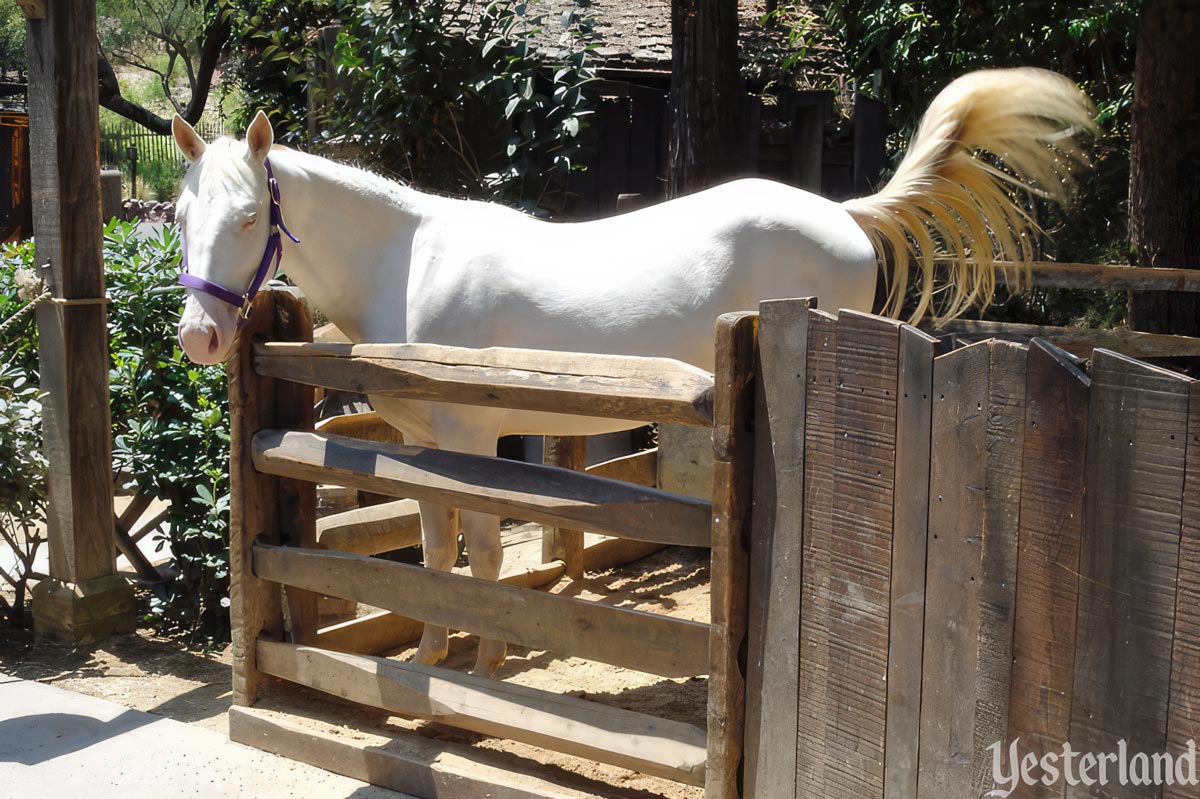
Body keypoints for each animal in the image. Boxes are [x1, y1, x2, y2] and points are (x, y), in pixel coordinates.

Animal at [175, 68, 1099, 671]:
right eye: (180, 213)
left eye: (251, 214)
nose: (198, 337)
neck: (409, 262)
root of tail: (842, 212)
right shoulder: (420, 445)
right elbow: (437, 554)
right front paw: (430, 660)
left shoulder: (472, 438)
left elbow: (484, 557)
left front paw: (486, 667)